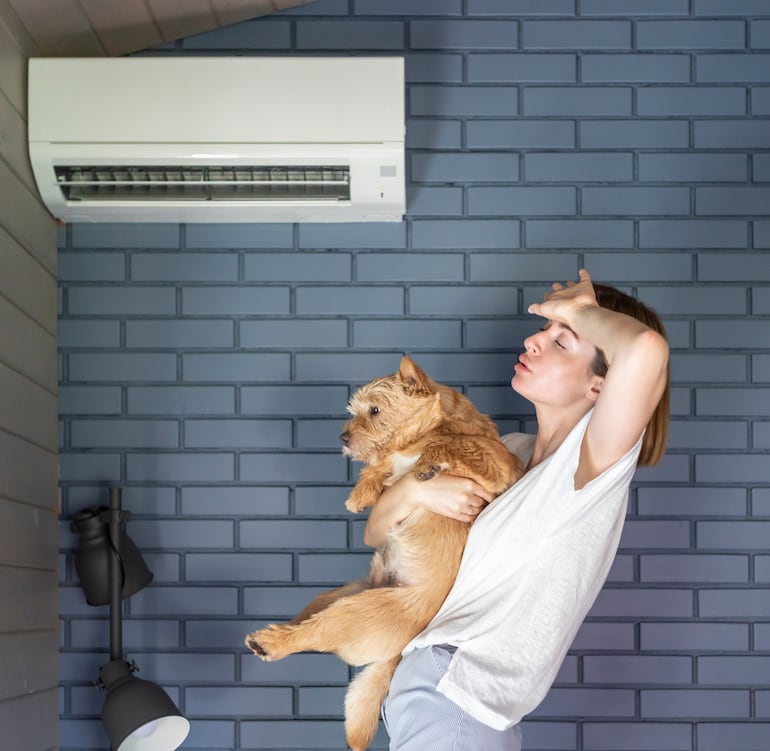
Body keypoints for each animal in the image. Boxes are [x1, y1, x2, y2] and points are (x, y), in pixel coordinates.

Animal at [246, 356, 520, 748]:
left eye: (374, 410)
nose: (343, 437)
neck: (424, 432)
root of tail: (402, 649)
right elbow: (382, 466)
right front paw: (361, 491)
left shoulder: (497, 463)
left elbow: (459, 446)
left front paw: (428, 462)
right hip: (337, 597)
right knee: (309, 625)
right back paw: (274, 633)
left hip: (353, 611)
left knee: (314, 633)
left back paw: (271, 642)